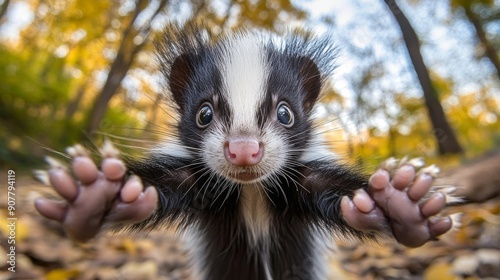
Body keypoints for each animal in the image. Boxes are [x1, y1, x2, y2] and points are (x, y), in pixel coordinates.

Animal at [35, 24, 456, 280]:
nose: (243, 149)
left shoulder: (294, 182)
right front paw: (96, 195)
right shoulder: (202, 183)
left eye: (285, 112)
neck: (251, 192)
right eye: (204, 112)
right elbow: (163, 182)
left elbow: (332, 188)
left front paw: (400, 203)